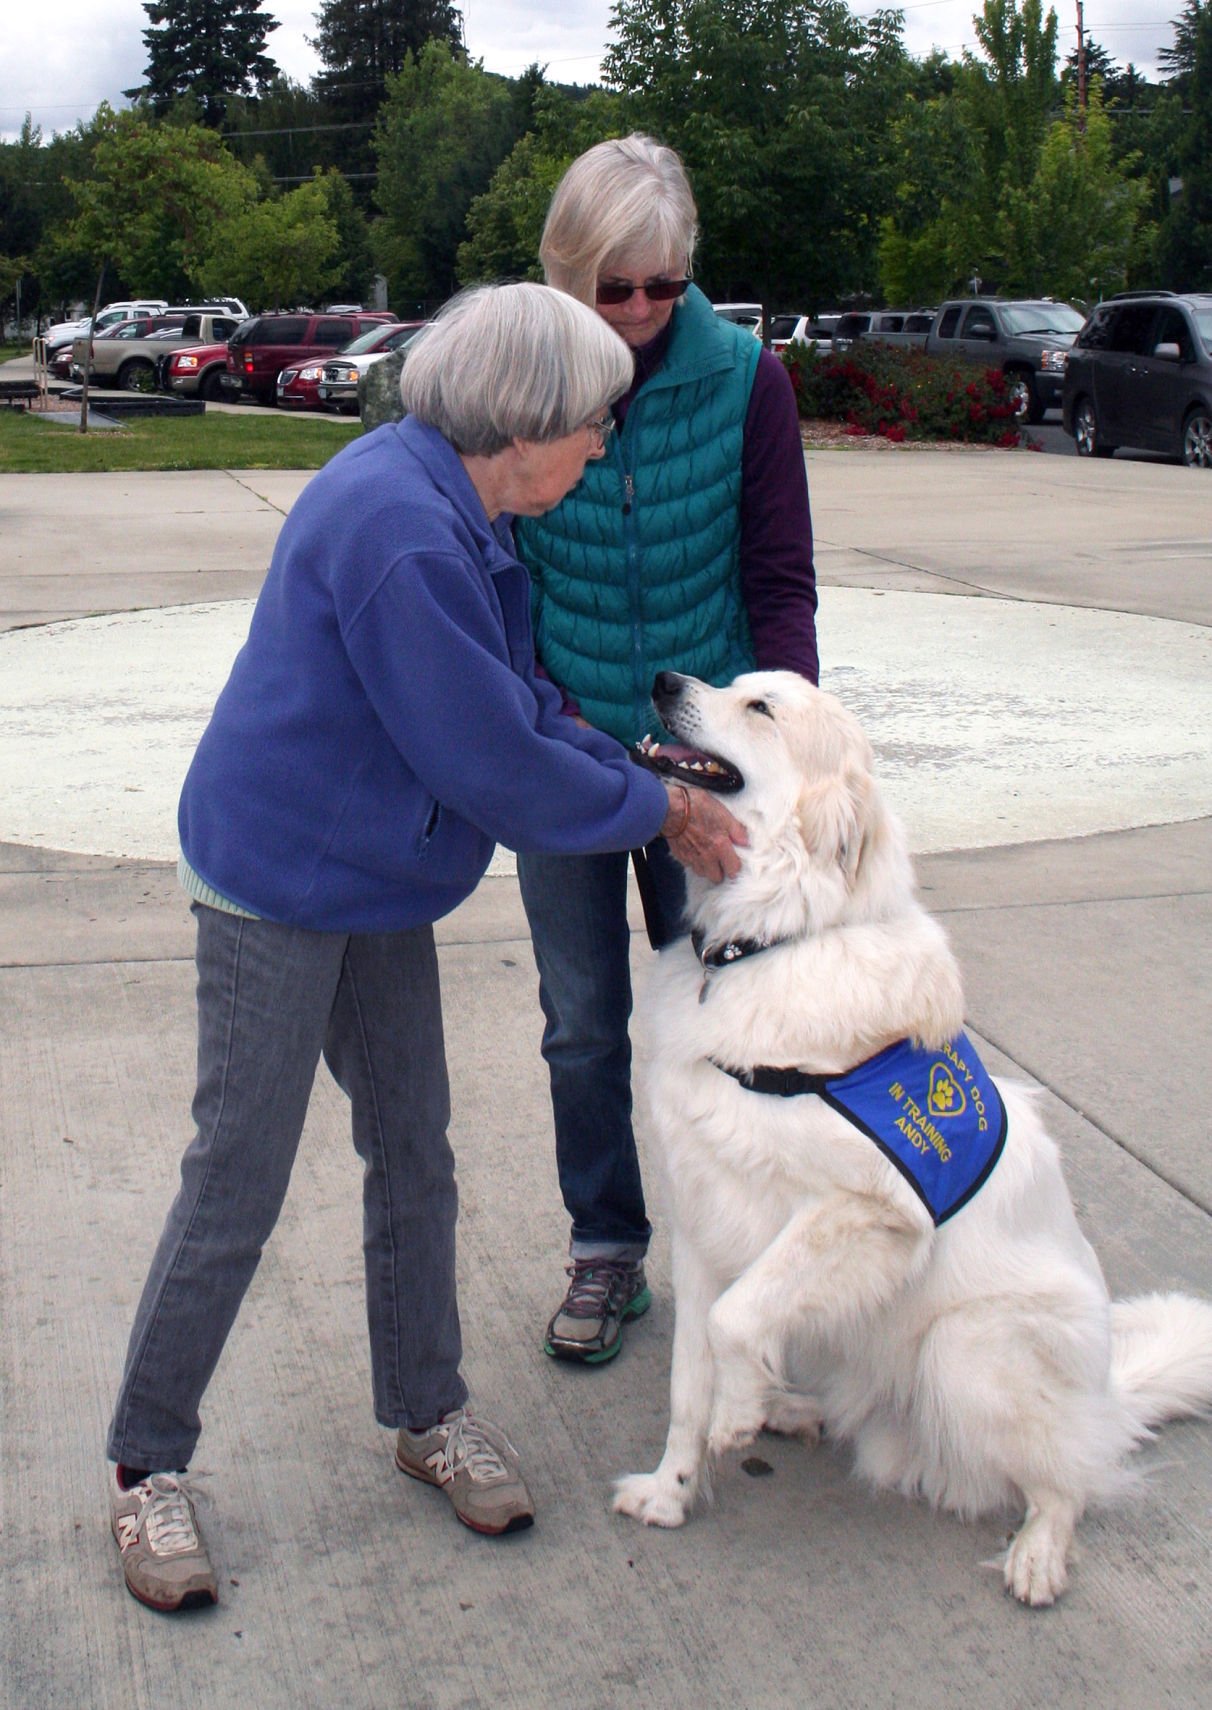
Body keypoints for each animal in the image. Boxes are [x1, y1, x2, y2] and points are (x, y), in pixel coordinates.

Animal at [615, 666, 1210, 1600]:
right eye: (734, 682)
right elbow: (688, 1381)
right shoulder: (703, 1221)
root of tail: (1107, 1394)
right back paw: (795, 1408)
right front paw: (671, 1494)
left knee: (1072, 1476)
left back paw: (1038, 1552)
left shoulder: (867, 1213)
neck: (777, 940)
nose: (665, 677)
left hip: (966, 1350)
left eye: (761, 708)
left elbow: (736, 1322)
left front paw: (737, 1410)